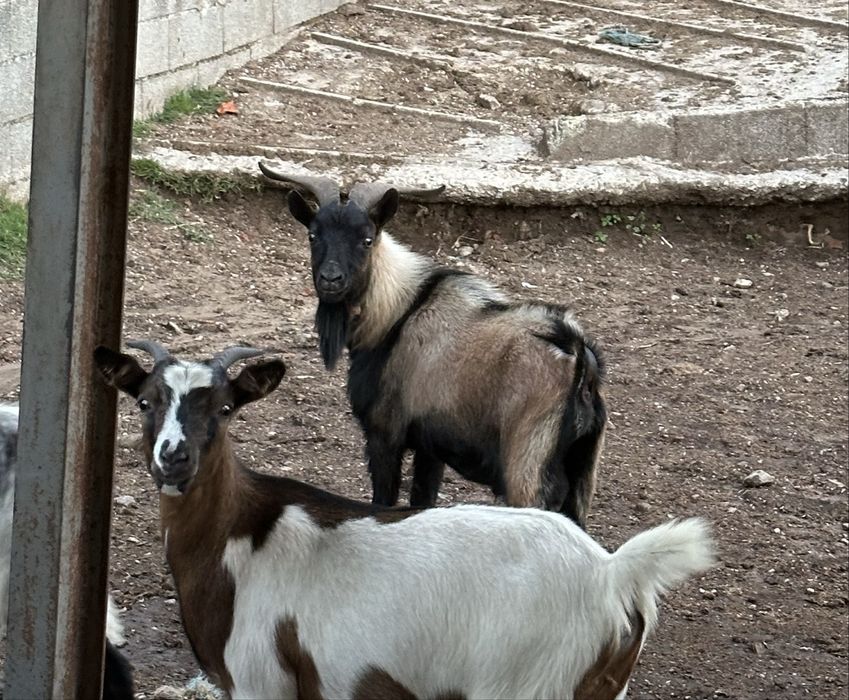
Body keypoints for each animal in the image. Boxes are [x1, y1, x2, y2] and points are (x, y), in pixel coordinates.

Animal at [95, 340, 715, 700]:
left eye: (224, 408)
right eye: (145, 402)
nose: (174, 458)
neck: (242, 534)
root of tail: (612, 572)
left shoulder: (261, 680)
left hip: (531, 685)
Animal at [259, 163, 607, 527]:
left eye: (366, 239)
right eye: (313, 235)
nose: (330, 279)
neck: (397, 312)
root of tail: (579, 361)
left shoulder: (385, 434)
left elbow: (384, 501)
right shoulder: (430, 448)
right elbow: (423, 500)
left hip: (527, 469)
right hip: (581, 475)